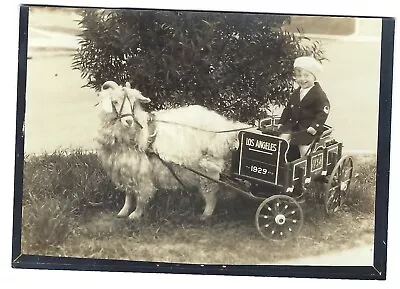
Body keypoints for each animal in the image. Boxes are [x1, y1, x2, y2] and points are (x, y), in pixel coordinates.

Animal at [95, 80, 248, 219]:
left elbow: (141, 194)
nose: (129, 121)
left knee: (211, 190)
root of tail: (226, 128)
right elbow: (129, 194)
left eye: (133, 104)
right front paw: (123, 211)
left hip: (208, 166)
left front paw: (136, 214)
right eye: (114, 102)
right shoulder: (126, 169)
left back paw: (206, 214)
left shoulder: (142, 172)